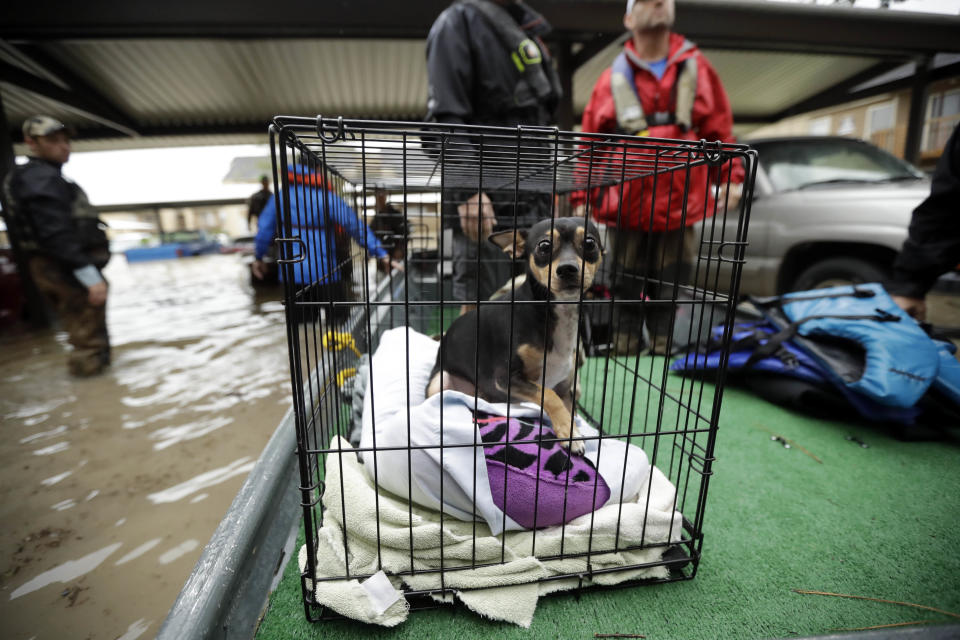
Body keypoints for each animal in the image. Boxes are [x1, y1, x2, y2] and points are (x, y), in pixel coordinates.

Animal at [426, 220, 600, 456]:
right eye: (544, 246)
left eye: (590, 243)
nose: (567, 268)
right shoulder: (505, 378)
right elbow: (547, 394)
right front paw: (569, 432)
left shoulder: (565, 388)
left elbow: (563, 403)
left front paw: (570, 427)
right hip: (439, 381)